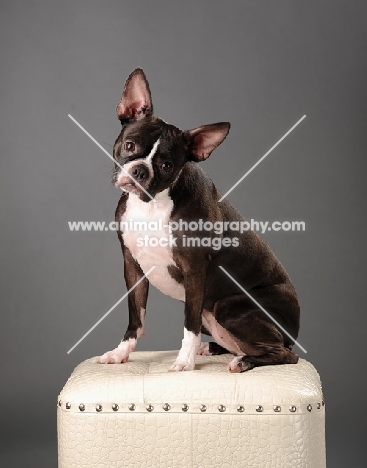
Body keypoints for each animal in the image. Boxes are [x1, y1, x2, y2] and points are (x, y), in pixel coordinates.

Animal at [96, 66, 300, 372]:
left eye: (167, 166)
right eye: (130, 146)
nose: (141, 171)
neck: (152, 204)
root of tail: (295, 333)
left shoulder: (194, 271)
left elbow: (188, 325)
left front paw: (184, 362)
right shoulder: (132, 265)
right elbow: (136, 317)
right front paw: (121, 353)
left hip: (229, 306)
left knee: (286, 355)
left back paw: (243, 361)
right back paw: (214, 348)